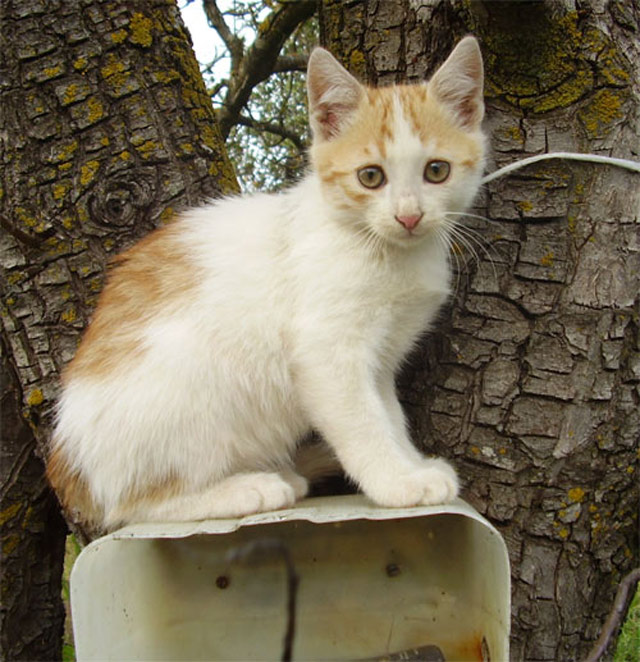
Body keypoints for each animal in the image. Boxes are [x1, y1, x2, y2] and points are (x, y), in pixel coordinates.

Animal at [47, 36, 486, 534]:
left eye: (437, 171)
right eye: (370, 176)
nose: (409, 216)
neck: (384, 250)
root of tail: (70, 466)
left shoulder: (382, 359)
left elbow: (389, 415)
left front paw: (412, 464)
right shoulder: (325, 351)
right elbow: (362, 422)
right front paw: (395, 481)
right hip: (188, 384)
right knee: (132, 506)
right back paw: (246, 489)